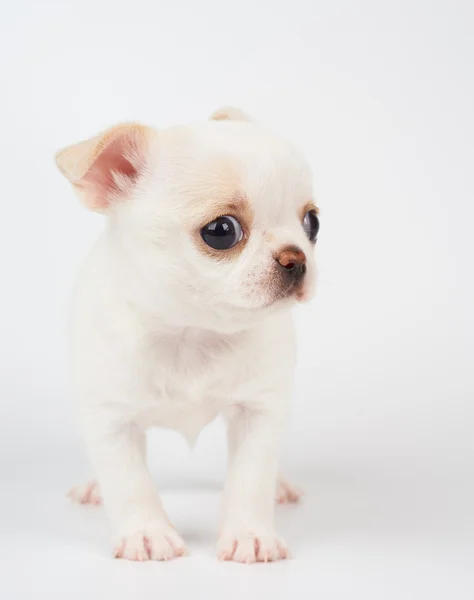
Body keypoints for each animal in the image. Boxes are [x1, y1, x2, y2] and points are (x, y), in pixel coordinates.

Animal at [57, 108, 320, 564]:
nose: (297, 258)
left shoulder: (259, 412)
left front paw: (250, 533)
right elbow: (130, 483)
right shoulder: (110, 421)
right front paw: (147, 532)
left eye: (313, 223)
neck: (191, 332)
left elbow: (251, 478)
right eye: (221, 230)